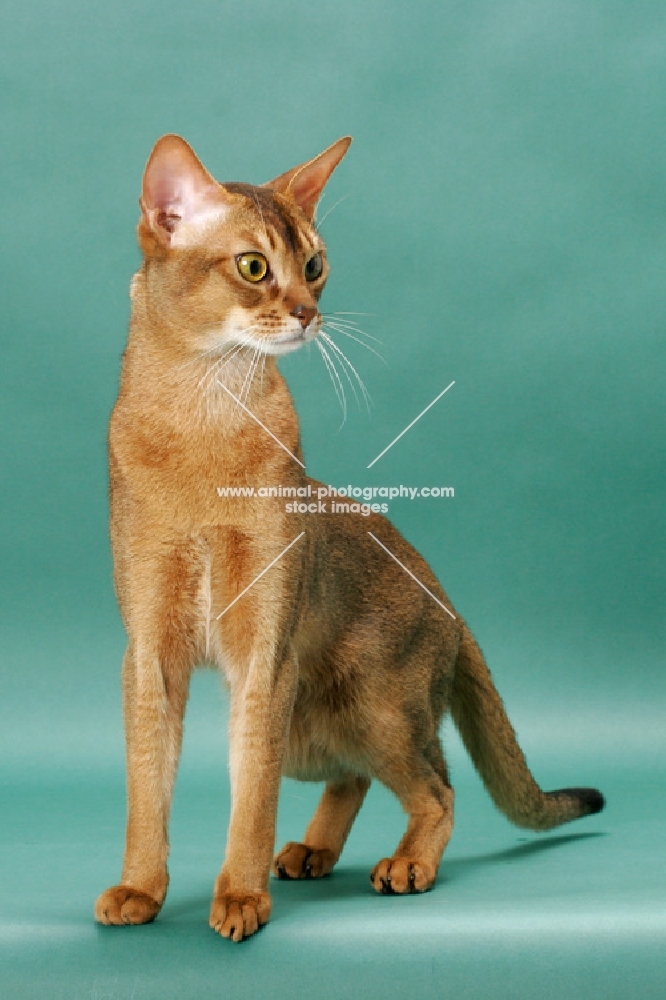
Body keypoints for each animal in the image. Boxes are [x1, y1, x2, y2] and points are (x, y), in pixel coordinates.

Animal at [96, 137, 604, 940]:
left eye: (313, 264)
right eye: (253, 267)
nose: (308, 314)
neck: (206, 413)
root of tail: (452, 606)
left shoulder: (264, 650)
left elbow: (251, 794)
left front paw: (238, 899)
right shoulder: (149, 649)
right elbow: (148, 784)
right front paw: (140, 890)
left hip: (375, 706)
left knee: (436, 785)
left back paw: (406, 864)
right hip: (316, 727)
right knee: (354, 774)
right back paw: (312, 851)